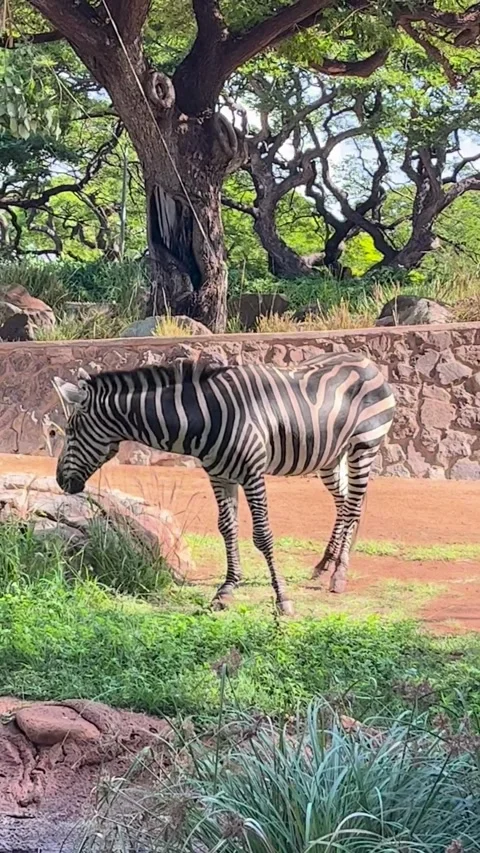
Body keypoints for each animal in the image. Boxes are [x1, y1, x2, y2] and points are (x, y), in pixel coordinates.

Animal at [54, 353, 395, 615]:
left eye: (70, 430)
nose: (59, 481)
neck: (206, 417)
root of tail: (367, 362)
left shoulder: (253, 473)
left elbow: (262, 535)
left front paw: (282, 598)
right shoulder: (219, 474)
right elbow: (227, 528)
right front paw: (227, 589)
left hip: (364, 445)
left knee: (353, 507)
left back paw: (339, 574)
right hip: (330, 455)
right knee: (345, 504)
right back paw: (325, 565)